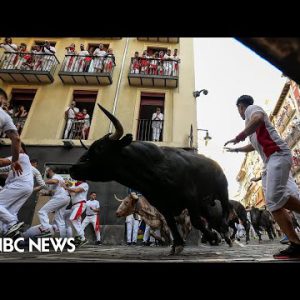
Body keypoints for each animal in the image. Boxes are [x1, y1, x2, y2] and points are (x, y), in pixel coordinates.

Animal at [69, 104, 232, 254]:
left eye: (100, 148)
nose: (73, 168)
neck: (153, 170)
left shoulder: (190, 198)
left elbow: (196, 222)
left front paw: (211, 237)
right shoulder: (163, 205)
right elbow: (172, 225)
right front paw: (178, 244)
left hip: (222, 192)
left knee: (225, 213)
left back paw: (226, 235)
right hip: (205, 203)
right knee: (212, 219)